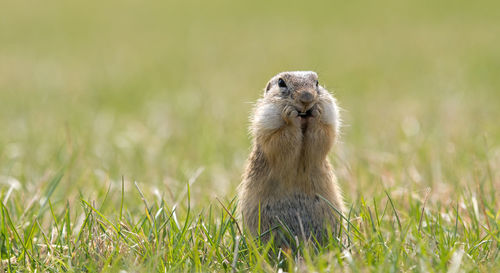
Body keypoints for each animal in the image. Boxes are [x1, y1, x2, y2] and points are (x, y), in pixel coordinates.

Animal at [238, 71, 344, 245]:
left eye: (317, 82)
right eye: (281, 82)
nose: (307, 98)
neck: (303, 122)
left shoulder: (328, 122)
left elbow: (323, 134)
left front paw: (317, 112)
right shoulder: (267, 126)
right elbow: (281, 138)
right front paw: (290, 115)